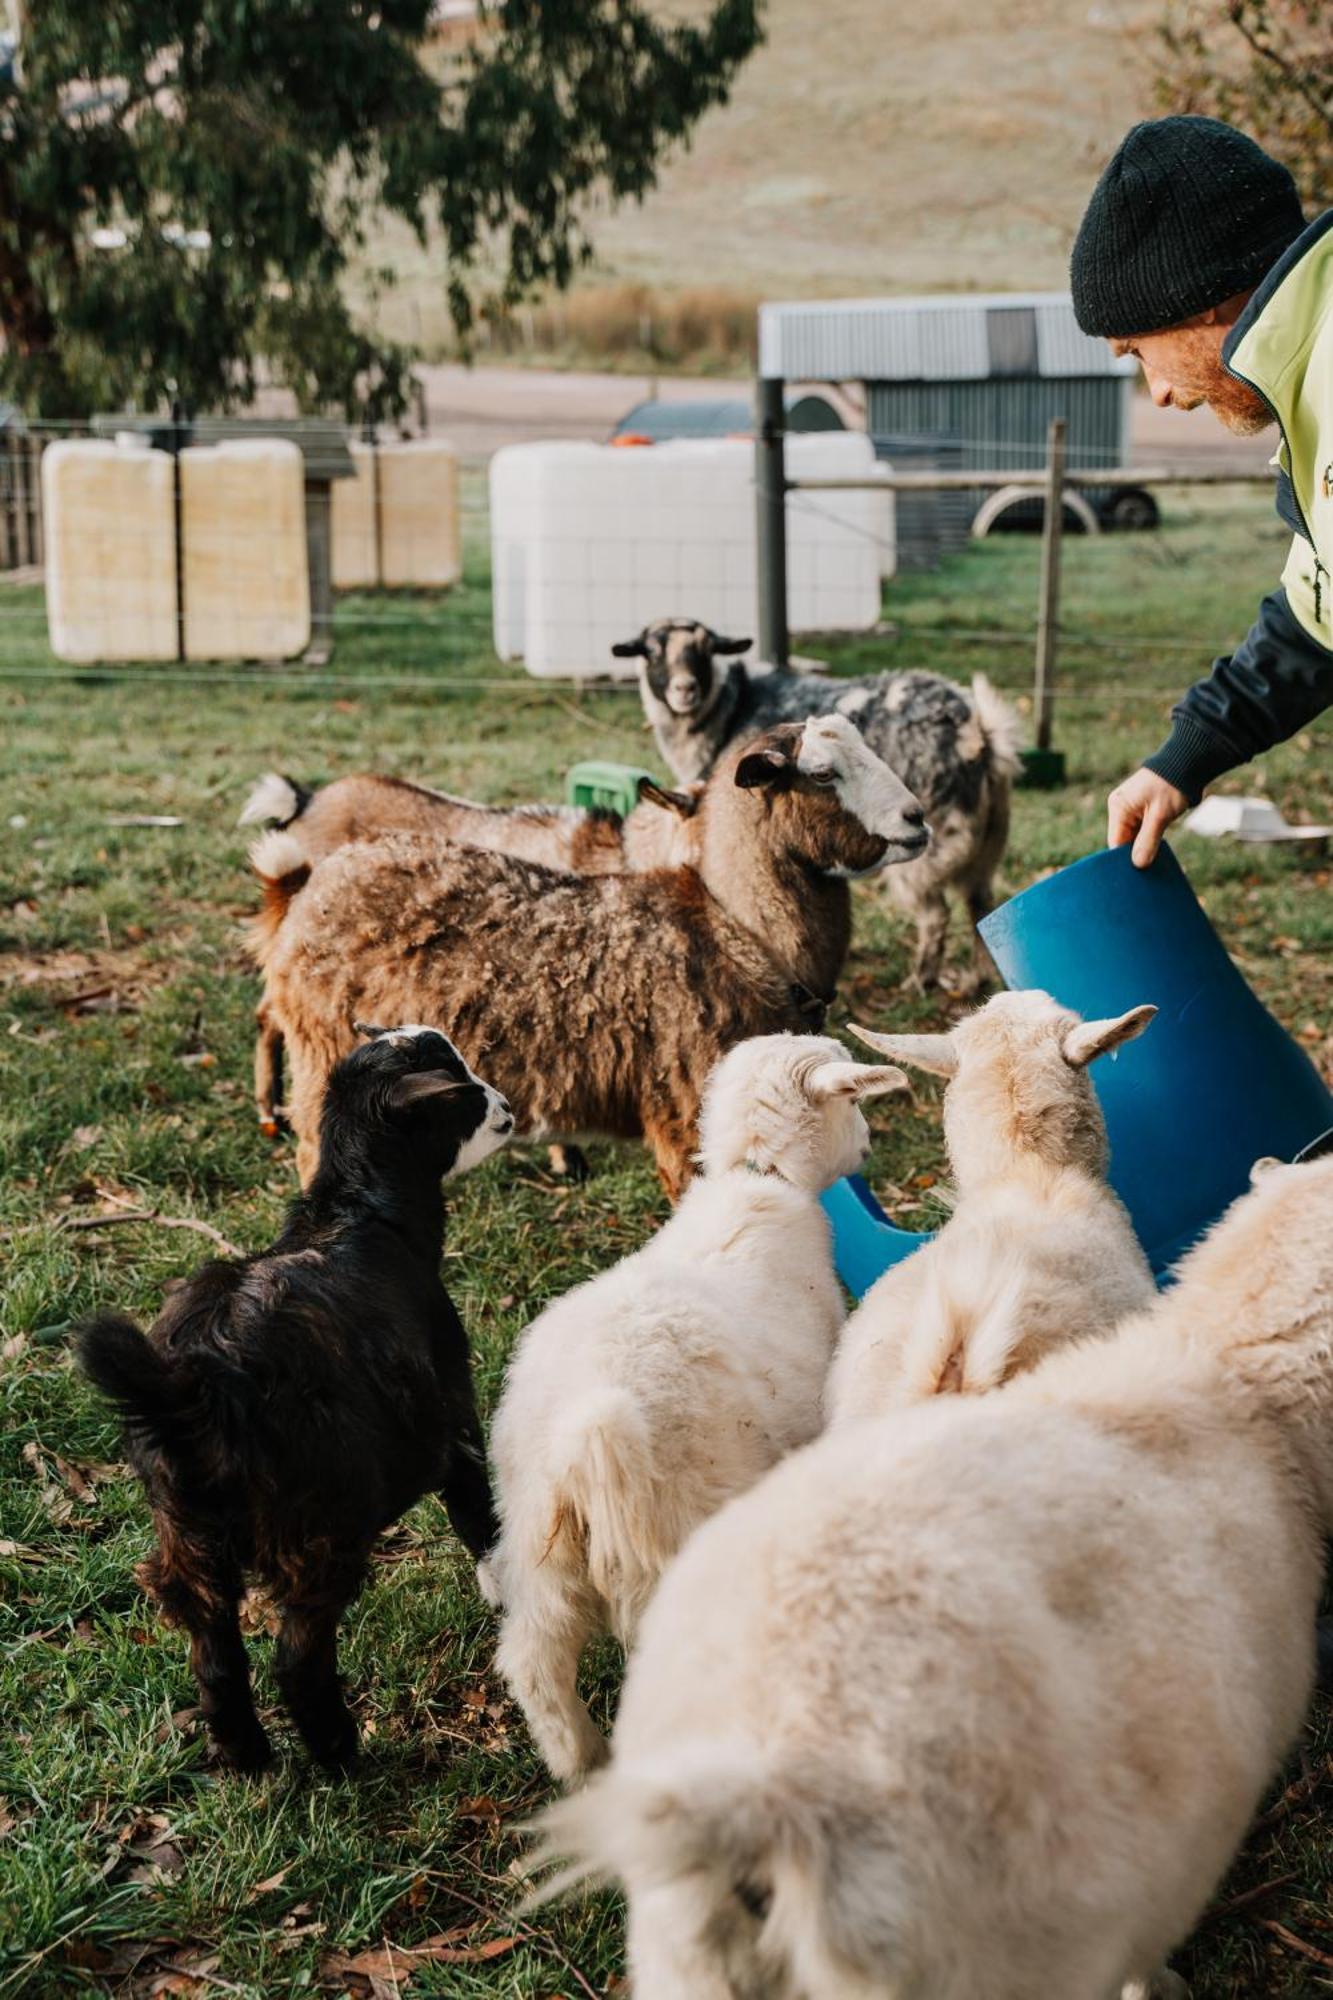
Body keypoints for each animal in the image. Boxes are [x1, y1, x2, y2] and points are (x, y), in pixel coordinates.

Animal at [78, 1032, 510, 1768]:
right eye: (462, 1088)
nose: (507, 1106)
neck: (361, 1211)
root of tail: (196, 1388)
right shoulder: (453, 1423)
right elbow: (479, 1518)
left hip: (185, 1532)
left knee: (215, 1651)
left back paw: (248, 1759)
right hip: (319, 1521)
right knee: (298, 1655)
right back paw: (341, 1757)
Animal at [246, 716, 924, 1192]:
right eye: (822, 773)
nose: (918, 821)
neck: (738, 929)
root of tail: (309, 882)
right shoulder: (686, 1112)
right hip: (321, 1047)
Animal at [482, 1032, 908, 1784]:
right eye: (853, 1100)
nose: (865, 1148)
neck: (762, 1177)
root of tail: (587, 1433)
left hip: (537, 1539)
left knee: (533, 1660)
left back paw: (580, 1764)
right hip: (677, 1527)